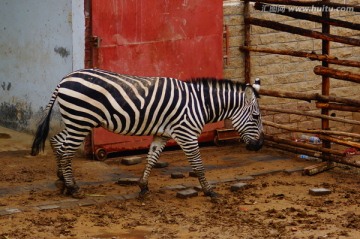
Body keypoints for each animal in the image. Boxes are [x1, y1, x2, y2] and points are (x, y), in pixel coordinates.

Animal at [31, 68, 262, 199]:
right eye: (257, 116)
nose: (259, 146)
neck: (199, 104)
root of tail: (64, 79)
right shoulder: (187, 134)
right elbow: (198, 165)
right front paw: (209, 191)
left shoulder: (163, 133)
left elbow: (152, 158)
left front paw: (143, 187)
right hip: (81, 120)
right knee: (66, 150)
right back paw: (73, 188)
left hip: (75, 120)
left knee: (58, 142)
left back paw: (62, 182)